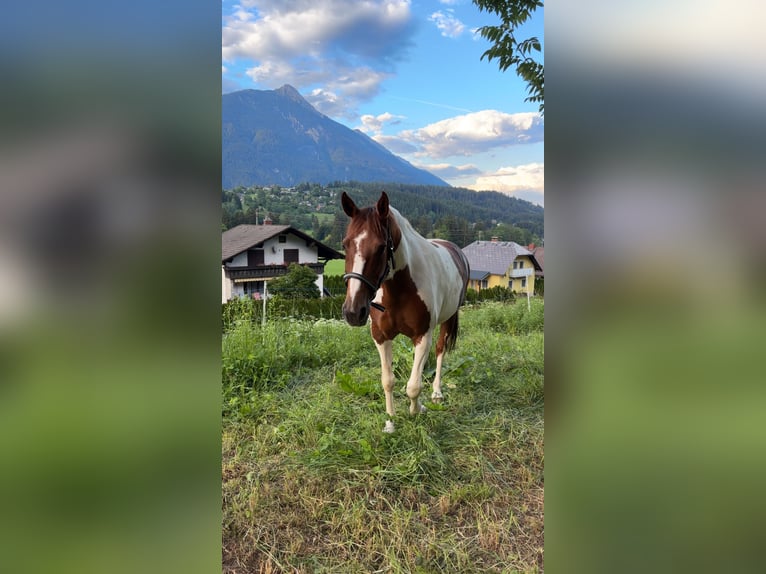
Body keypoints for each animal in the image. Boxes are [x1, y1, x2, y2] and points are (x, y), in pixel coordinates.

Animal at [340, 191, 470, 433]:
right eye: (345, 244)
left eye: (382, 247)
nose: (353, 311)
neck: (399, 289)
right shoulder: (380, 336)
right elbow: (388, 381)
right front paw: (390, 421)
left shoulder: (422, 336)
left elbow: (413, 386)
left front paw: (417, 409)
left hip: (448, 318)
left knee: (440, 350)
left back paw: (437, 392)